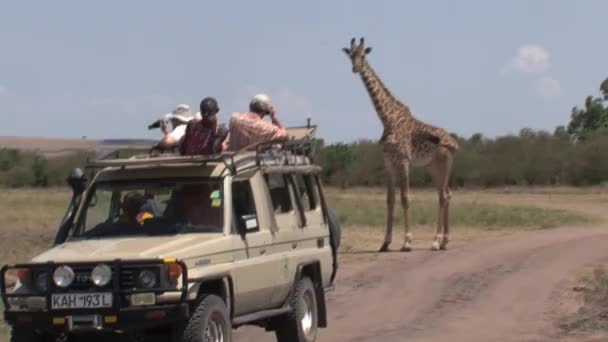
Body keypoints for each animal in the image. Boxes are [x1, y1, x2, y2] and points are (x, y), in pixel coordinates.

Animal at [340, 38, 458, 251]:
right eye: (350, 55)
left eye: (363, 55)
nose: (355, 68)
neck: (387, 118)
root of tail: (453, 142)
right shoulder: (388, 162)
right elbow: (390, 200)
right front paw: (385, 242)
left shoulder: (403, 160)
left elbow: (405, 198)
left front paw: (407, 241)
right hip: (433, 167)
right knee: (446, 194)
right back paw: (444, 240)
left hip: (445, 163)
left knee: (443, 197)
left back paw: (436, 241)